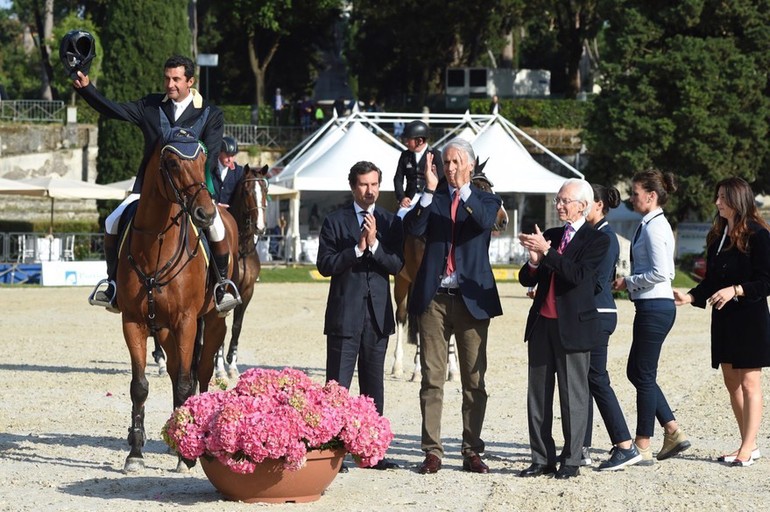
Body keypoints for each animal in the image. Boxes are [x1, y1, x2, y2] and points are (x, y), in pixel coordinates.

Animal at [115, 115, 237, 472]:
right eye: (171, 162)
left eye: (203, 158)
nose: (205, 214)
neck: (156, 242)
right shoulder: (134, 323)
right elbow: (140, 386)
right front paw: (135, 452)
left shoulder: (186, 322)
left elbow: (187, 381)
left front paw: (187, 456)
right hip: (167, 330)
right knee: (173, 373)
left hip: (212, 323)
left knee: (203, 373)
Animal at [213, 164, 270, 380]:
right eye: (246, 192)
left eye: (265, 190)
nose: (260, 227)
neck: (241, 248)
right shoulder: (223, 293)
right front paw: (220, 368)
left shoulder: (246, 291)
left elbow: (236, 327)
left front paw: (231, 363)